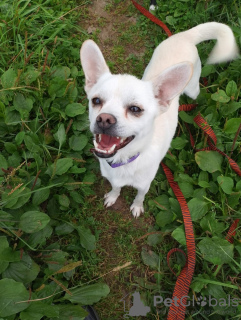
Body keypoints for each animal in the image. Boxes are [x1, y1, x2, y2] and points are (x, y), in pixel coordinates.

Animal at [80, 21, 238, 218]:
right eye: (96, 101)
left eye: (135, 109)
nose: (104, 119)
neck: (125, 160)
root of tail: (186, 35)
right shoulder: (113, 179)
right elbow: (116, 188)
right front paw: (113, 196)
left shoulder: (144, 185)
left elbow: (139, 196)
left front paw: (137, 207)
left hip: (193, 89)